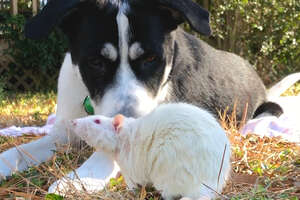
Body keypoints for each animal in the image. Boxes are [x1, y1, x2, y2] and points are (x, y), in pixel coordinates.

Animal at [0, 0, 276, 195]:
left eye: (151, 58)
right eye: (96, 62)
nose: (128, 122)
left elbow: (107, 153)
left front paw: (79, 178)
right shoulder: (64, 131)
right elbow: (21, 151)